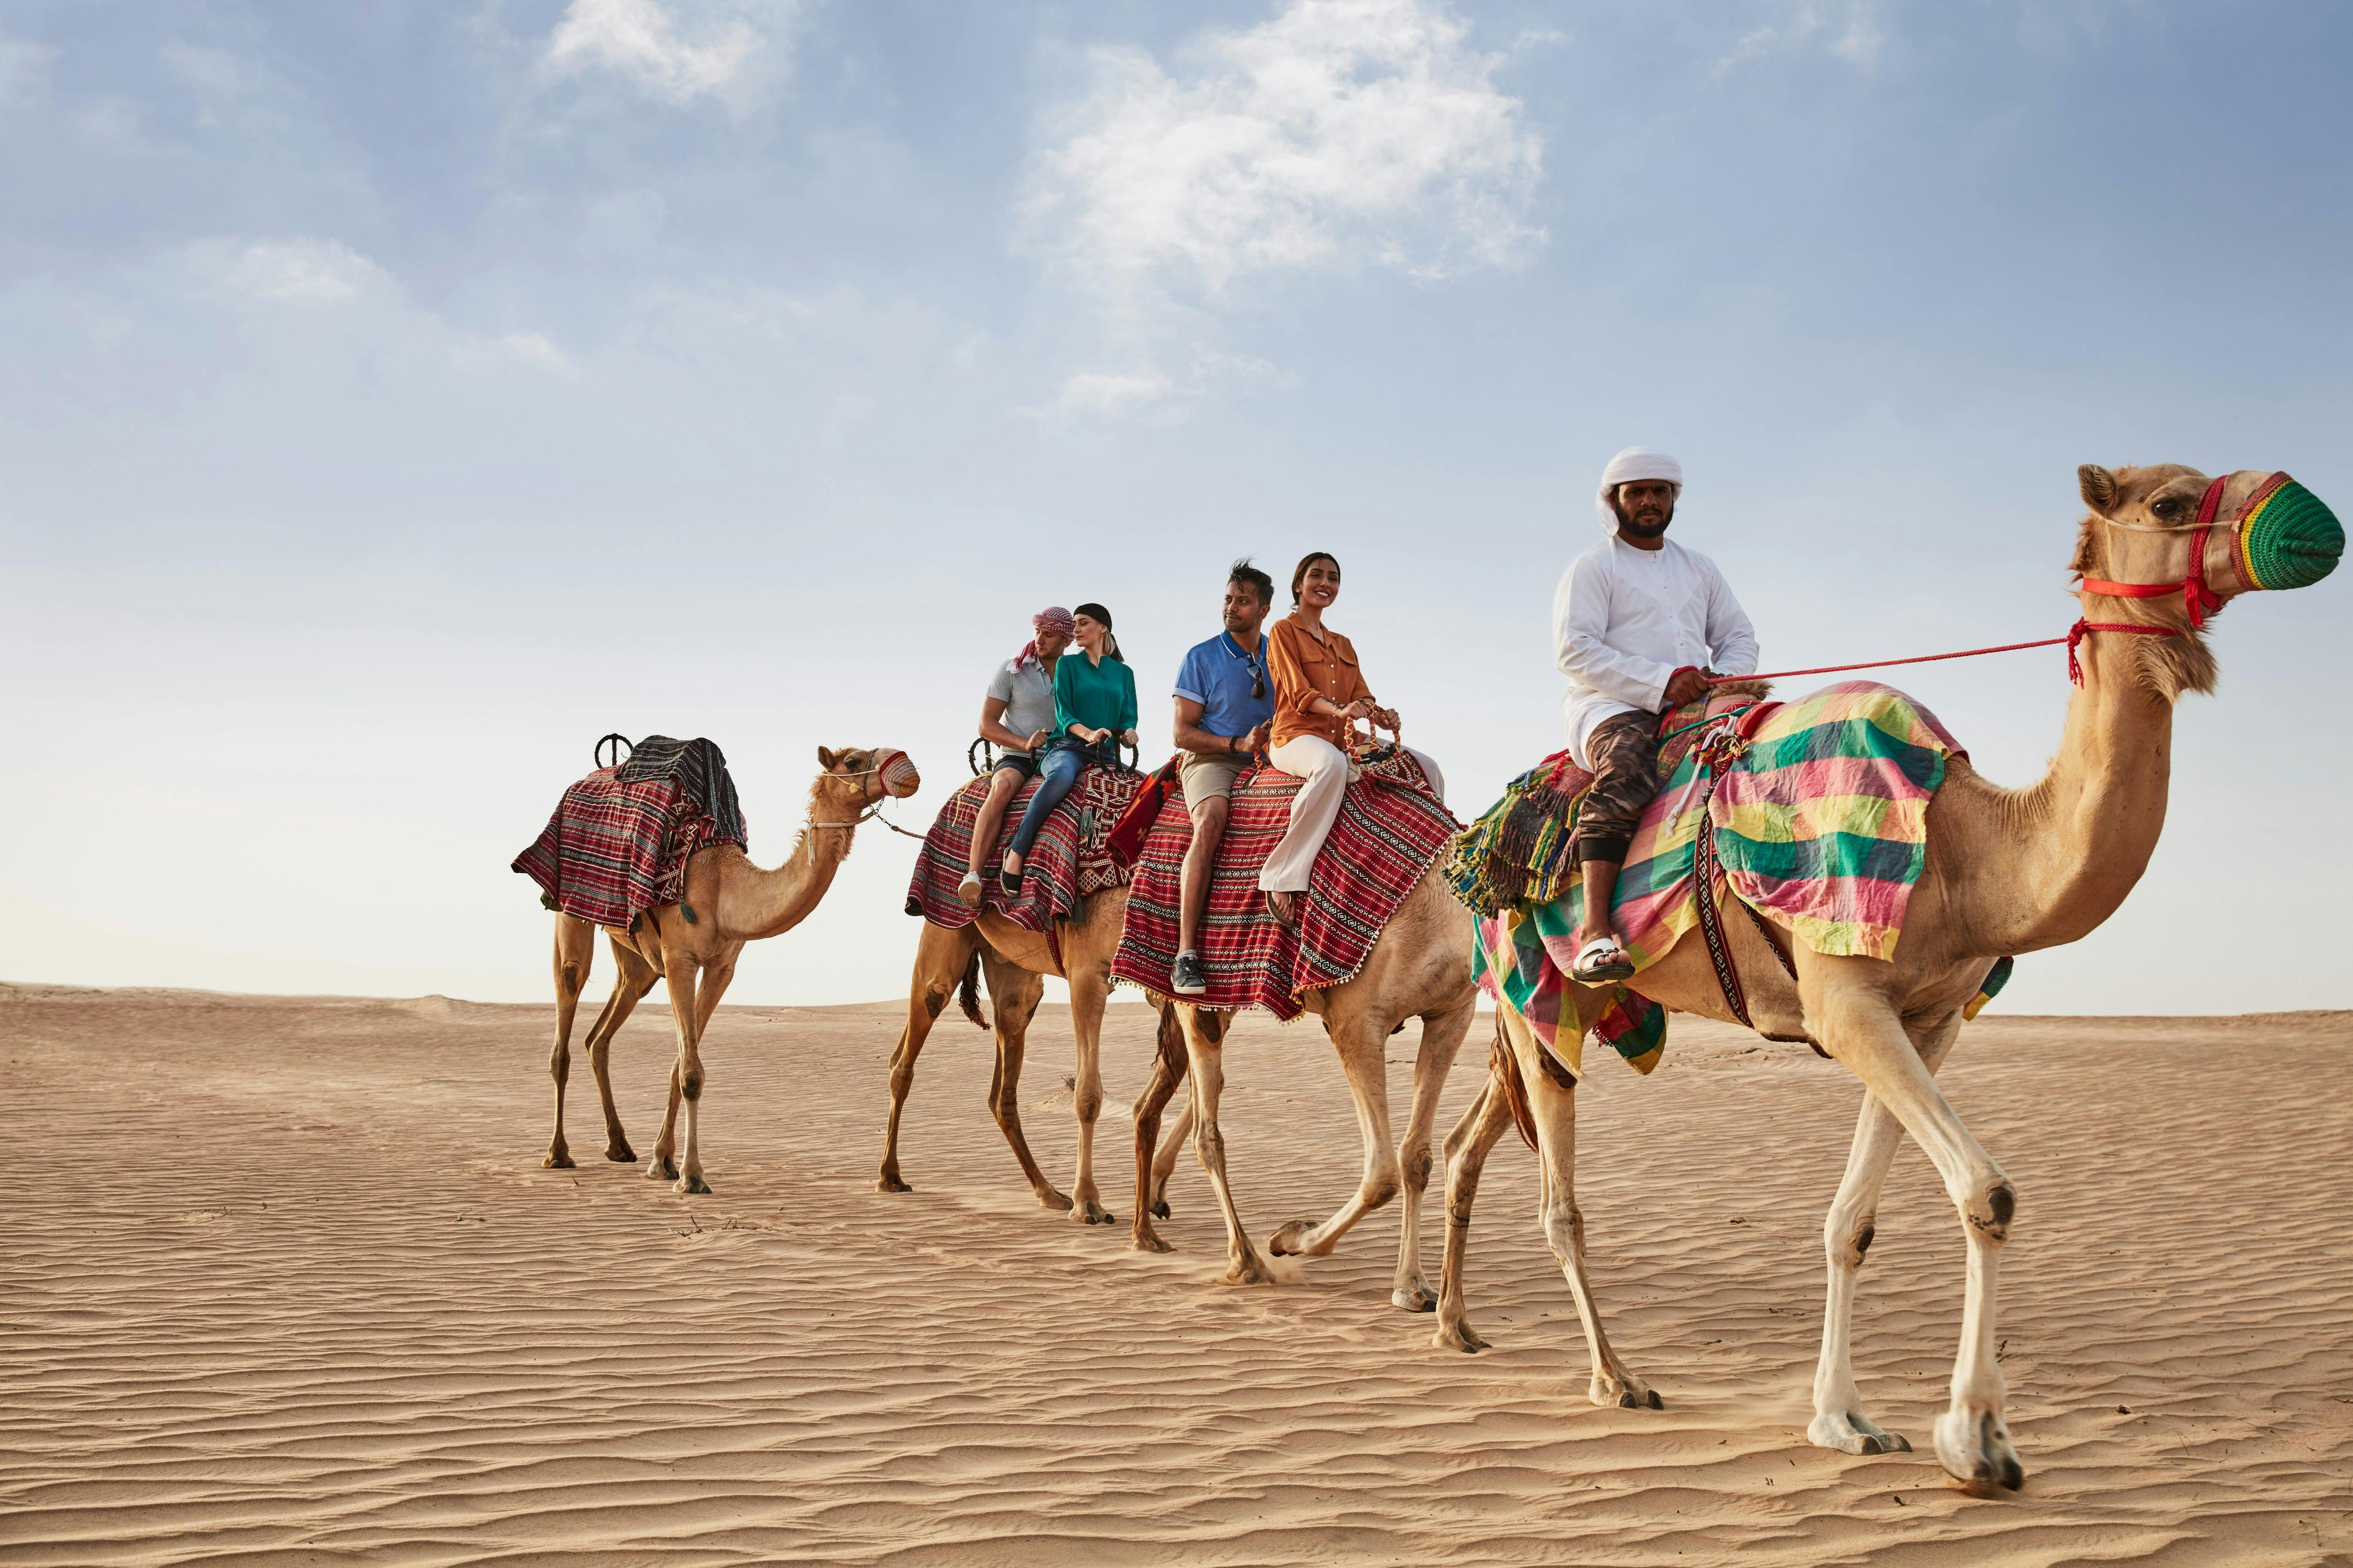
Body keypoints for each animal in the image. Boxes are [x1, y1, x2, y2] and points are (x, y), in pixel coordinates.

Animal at [543, 745, 921, 1195]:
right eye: (852, 761)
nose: (909, 771)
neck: (725, 886)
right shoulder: (680, 958)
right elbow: (690, 1072)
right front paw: (691, 1176)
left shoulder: (722, 968)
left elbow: (681, 1064)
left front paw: (662, 1161)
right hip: (570, 910)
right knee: (567, 1006)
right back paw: (558, 1153)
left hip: (635, 959)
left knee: (601, 1033)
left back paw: (619, 1146)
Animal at [1129, 869, 1479, 1312]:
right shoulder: (1355, 1019)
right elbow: (1381, 1174)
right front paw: (1290, 1237)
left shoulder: (1451, 1014)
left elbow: (1416, 1159)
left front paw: (1413, 1286)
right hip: (1195, 997)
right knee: (1206, 1131)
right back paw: (1245, 1261)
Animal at [1432, 463, 2341, 1494]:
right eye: (2169, 504)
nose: (2310, 516)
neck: (1965, 847)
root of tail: (1477, 846)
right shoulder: (1845, 1002)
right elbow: (1988, 1192)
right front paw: (1978, 1438)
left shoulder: (1927, 1018)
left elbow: (1853, 1221)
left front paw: (1847, 1417)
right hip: (1534, 985)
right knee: (1560, 1205)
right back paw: (1614, 1376)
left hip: (1546, 1017)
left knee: (1471, 1142)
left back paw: (1456, 1326)